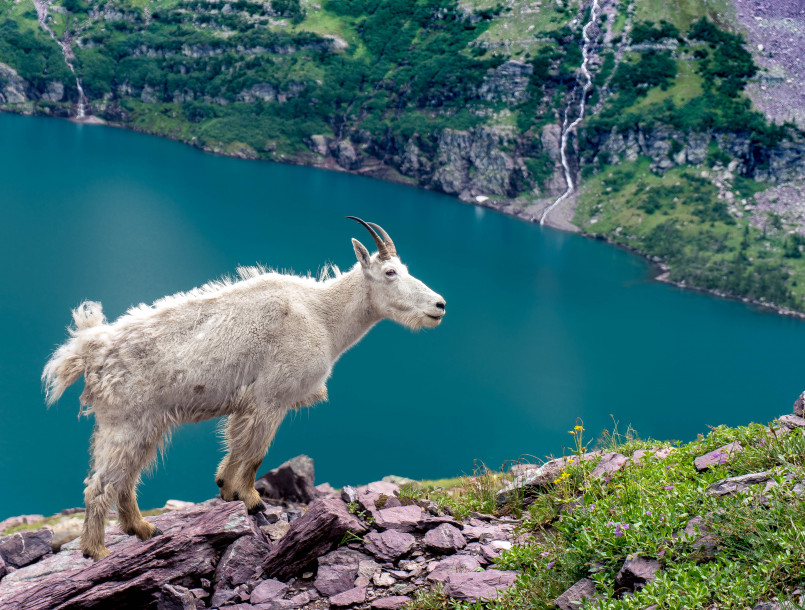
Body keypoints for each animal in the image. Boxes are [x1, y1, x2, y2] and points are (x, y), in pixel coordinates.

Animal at [42, 218, 446, 561]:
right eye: (391, 272)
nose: (440, 305)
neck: (322, 315)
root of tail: (88, 352)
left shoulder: (247, 405)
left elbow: (237, 446)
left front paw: (226, 488)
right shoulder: (271, 399)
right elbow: (255, 454)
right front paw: (252, 500)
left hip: (143, 425)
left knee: (125, 478)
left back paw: (141, 528)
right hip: (127, 423)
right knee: (100, 483)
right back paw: (97, 550)